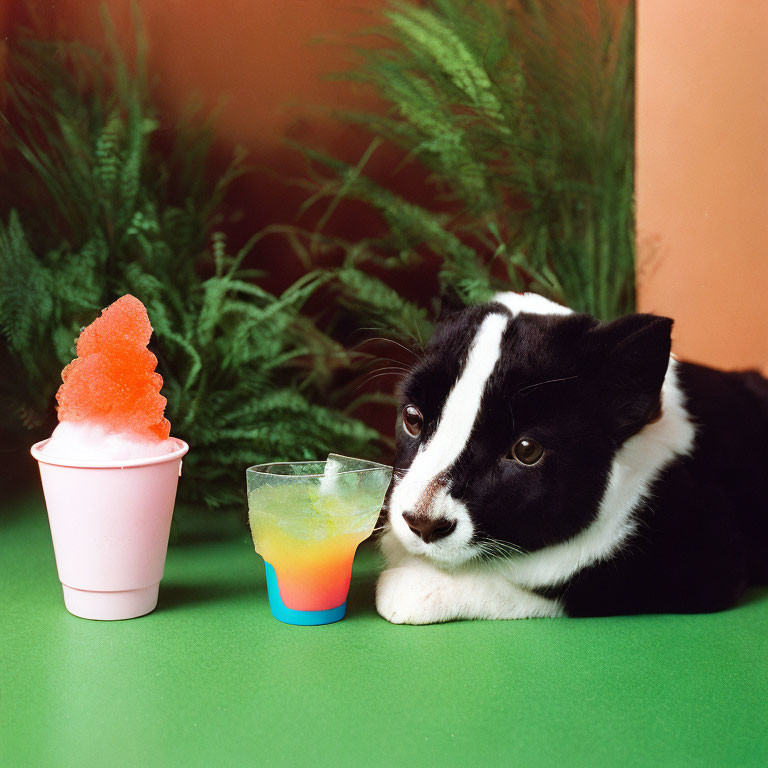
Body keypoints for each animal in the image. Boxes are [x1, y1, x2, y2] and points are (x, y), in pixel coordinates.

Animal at [376, 292, 768, 620]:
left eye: (526, 450)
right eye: (412, 418)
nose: (422, 524)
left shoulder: (705, 557)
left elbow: (562, 583)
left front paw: (418, 588)